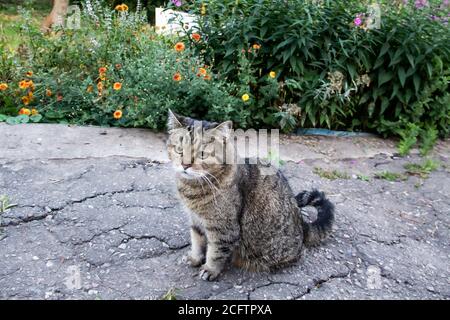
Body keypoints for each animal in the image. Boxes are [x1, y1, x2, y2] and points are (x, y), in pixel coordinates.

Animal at [166, 111, 334, 282]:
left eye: (202, 154)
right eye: (179, 150)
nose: (185, 165)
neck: (192, 187)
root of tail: (302, 224)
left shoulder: (223, 228)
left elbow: (216, 252)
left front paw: (210, 269)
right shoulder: (195, 220)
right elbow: (197, 240)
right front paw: (194, 258)